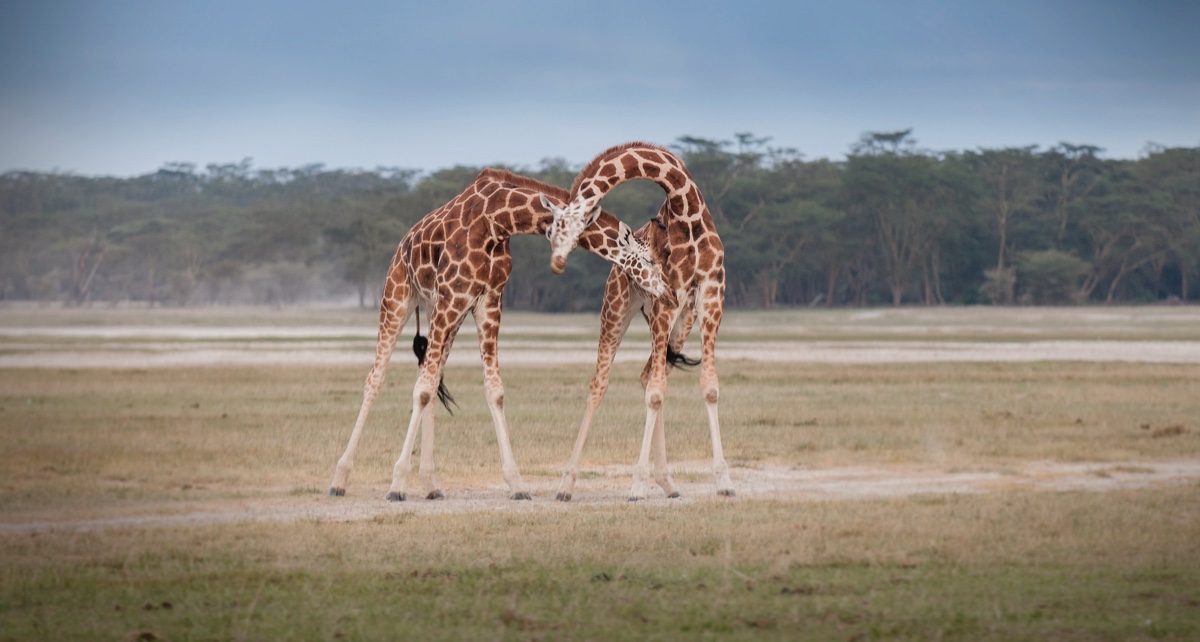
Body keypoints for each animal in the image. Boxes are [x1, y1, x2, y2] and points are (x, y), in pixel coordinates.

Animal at [328, 168, 668, 501]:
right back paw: (340, 480)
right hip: (399, 296)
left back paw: (431, 485)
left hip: (442, 311)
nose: (665, 288)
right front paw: (397, 484)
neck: (497, 221)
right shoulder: (453, 297)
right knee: (376, 378)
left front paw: (517, 485)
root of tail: (404, 242)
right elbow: (421, 390)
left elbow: (492, 390)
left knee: (432, 377)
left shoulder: (487, 302)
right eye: (648, 258)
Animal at [542, 142, 734, 501]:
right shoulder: (665, 303)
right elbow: (656, 393)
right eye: (549, 230)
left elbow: (709, 388)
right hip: (617, 309)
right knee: (600, 385)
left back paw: (669, 483)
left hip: (682, 321)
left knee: (650, 376)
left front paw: (724, 482)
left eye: (564, 228)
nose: (557, 263)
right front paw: (636, 486)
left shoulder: (711, 295)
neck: (687, 212)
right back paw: (565, 485)